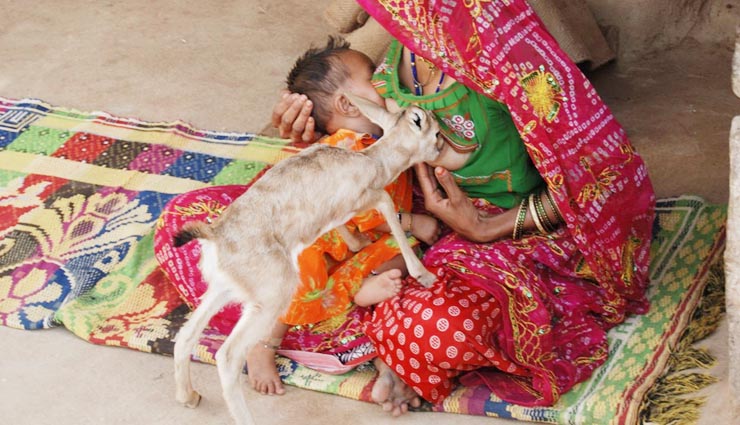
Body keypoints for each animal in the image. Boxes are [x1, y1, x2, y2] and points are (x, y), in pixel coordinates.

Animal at [171, 93, 443, 425]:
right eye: (435, 131)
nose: (441, 148)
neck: (373, 161)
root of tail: (215, 236)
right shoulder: (369, 196)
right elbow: (389, 208)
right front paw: (423, 275)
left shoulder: (337, 213)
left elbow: (342, 226)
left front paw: (359, 243)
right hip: (271, 298)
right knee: (228, 355)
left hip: (223, 290)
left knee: (186, 335)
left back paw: (188, 396)